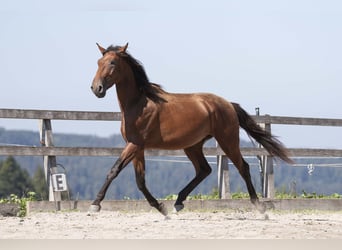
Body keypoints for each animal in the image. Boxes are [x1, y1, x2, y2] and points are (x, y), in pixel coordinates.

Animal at [89, 42, 292, 216]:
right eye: (98, 62)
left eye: (112, 63)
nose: (96, 88)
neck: (138, 103)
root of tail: (228, 104)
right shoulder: (137, 147)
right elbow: (140, 181)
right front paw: (160, 208)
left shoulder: (134, 144)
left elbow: (114, 170)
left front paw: (95, 204)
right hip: (193, 145)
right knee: (204, 170)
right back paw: (178, 202)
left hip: (227, 141)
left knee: (243, 167)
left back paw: (259, 207)